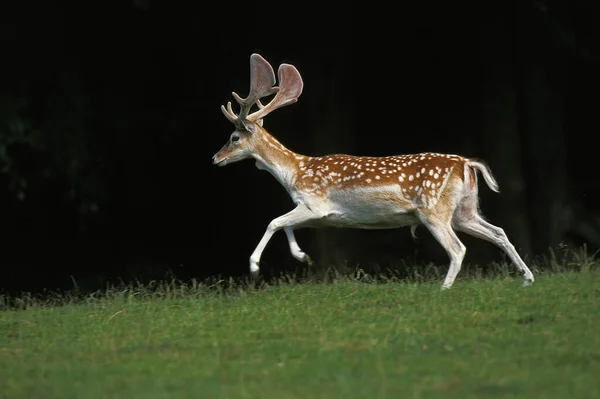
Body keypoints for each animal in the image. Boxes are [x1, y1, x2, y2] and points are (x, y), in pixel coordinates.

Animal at [211, 54, 536, 290]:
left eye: (234, 138)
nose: (215, 159)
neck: (295, 173)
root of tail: (466, 164)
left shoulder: (315, 203)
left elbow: (274, 222)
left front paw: (254, 267)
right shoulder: (318, 214)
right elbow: (285, 224)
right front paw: (303, 257)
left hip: (434, 210)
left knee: (458, 248)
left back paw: (444, 288)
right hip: (464, 211)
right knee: (498, 232)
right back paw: (527, 277)